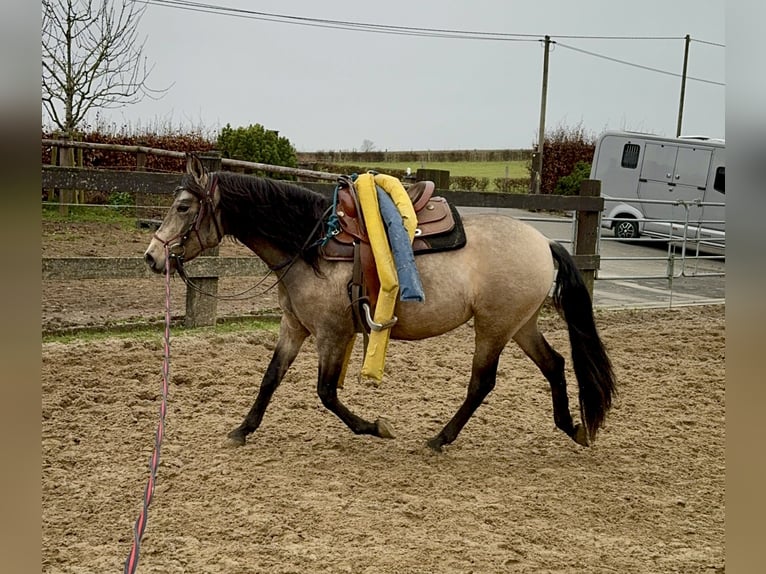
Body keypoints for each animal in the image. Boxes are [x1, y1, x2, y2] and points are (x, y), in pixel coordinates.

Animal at [144, 158, 616, 454]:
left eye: (183, 206)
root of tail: (544, 241)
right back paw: (571, 427)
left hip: (494, 328)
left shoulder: (333, 334)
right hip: (520, 325)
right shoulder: (294, 327)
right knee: (555, 364)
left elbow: (326, 393)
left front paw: (374, 428)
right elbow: (270, 379)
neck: (312, 246)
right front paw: (242, 429)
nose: (152, 257)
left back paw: (439, 439)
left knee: (482, 383)